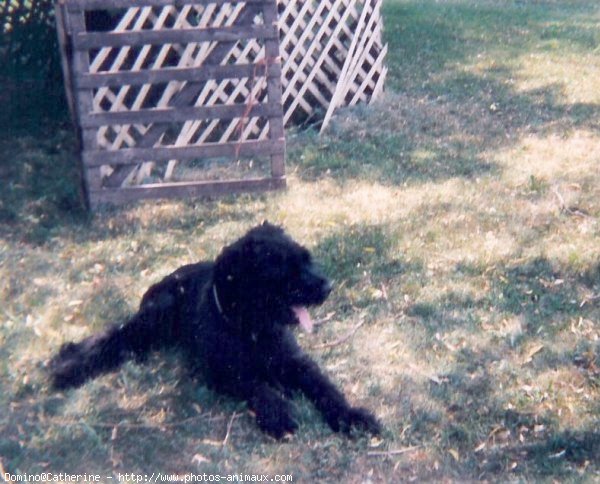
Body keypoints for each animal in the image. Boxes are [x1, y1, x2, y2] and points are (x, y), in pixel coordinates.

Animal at [50, 223, 380, 438]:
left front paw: (351, 416)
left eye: (306, 258)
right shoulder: (224, 372)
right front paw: (278, 413)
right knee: (116, 338)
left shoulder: (297, 363)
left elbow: (325, 387)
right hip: (152, 319)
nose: (327, 286)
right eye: (282, 266)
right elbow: (257, 385)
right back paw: (67, 367)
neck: (251, 328)